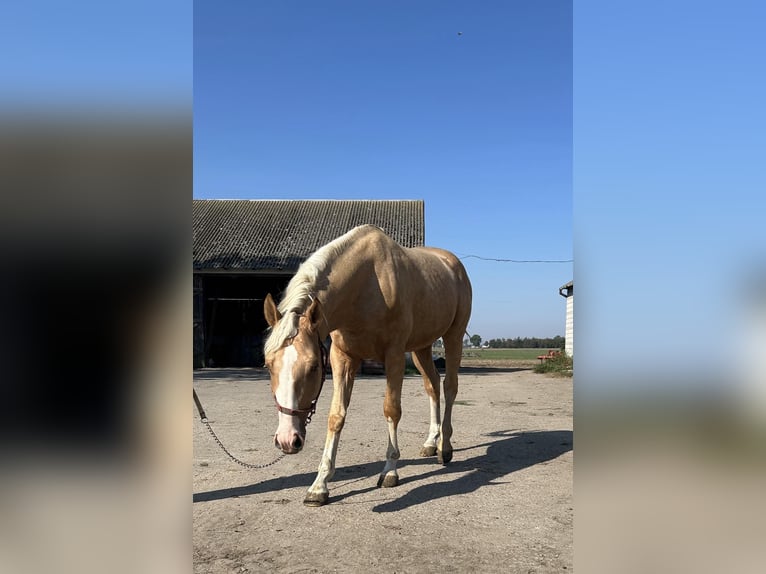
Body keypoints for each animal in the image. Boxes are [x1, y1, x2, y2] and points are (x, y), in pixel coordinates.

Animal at [264, 225, 472, 508]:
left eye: (314, 367)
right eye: (268, 365)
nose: (287, 439)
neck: (366, 284)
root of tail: (453, 263)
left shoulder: (394, 356)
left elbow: (391, 410)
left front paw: (390, 472)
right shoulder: (342, 358)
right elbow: (336, 416)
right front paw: (319, 485)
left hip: (453, 337)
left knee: (450, 387)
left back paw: (445, 448)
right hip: (421, 347)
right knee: (433, 386)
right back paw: (431, 443)